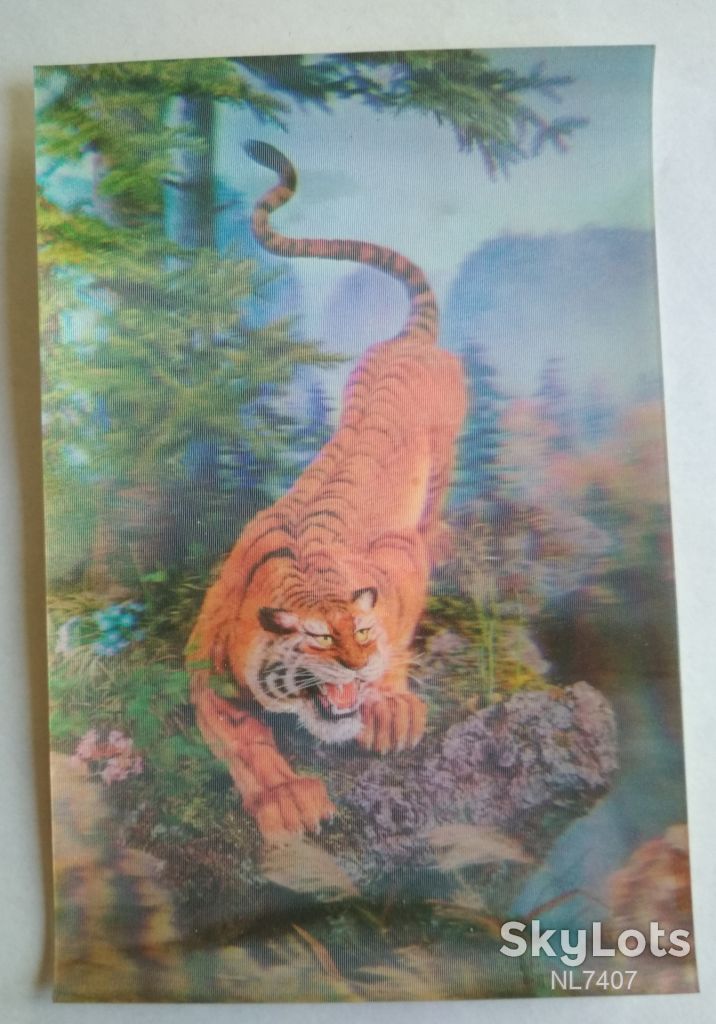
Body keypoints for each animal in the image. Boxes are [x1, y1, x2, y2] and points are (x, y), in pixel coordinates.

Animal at [186, 140, 467, 843]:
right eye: (316, 639)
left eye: (362, 632)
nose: (357, 666)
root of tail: (404, 342)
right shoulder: (205, 665)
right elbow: (239, 738)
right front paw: (285, 797)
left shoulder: (398, 562)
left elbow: (401, 630)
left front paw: (389, 706)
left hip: (445, 448)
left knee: (436, 507)